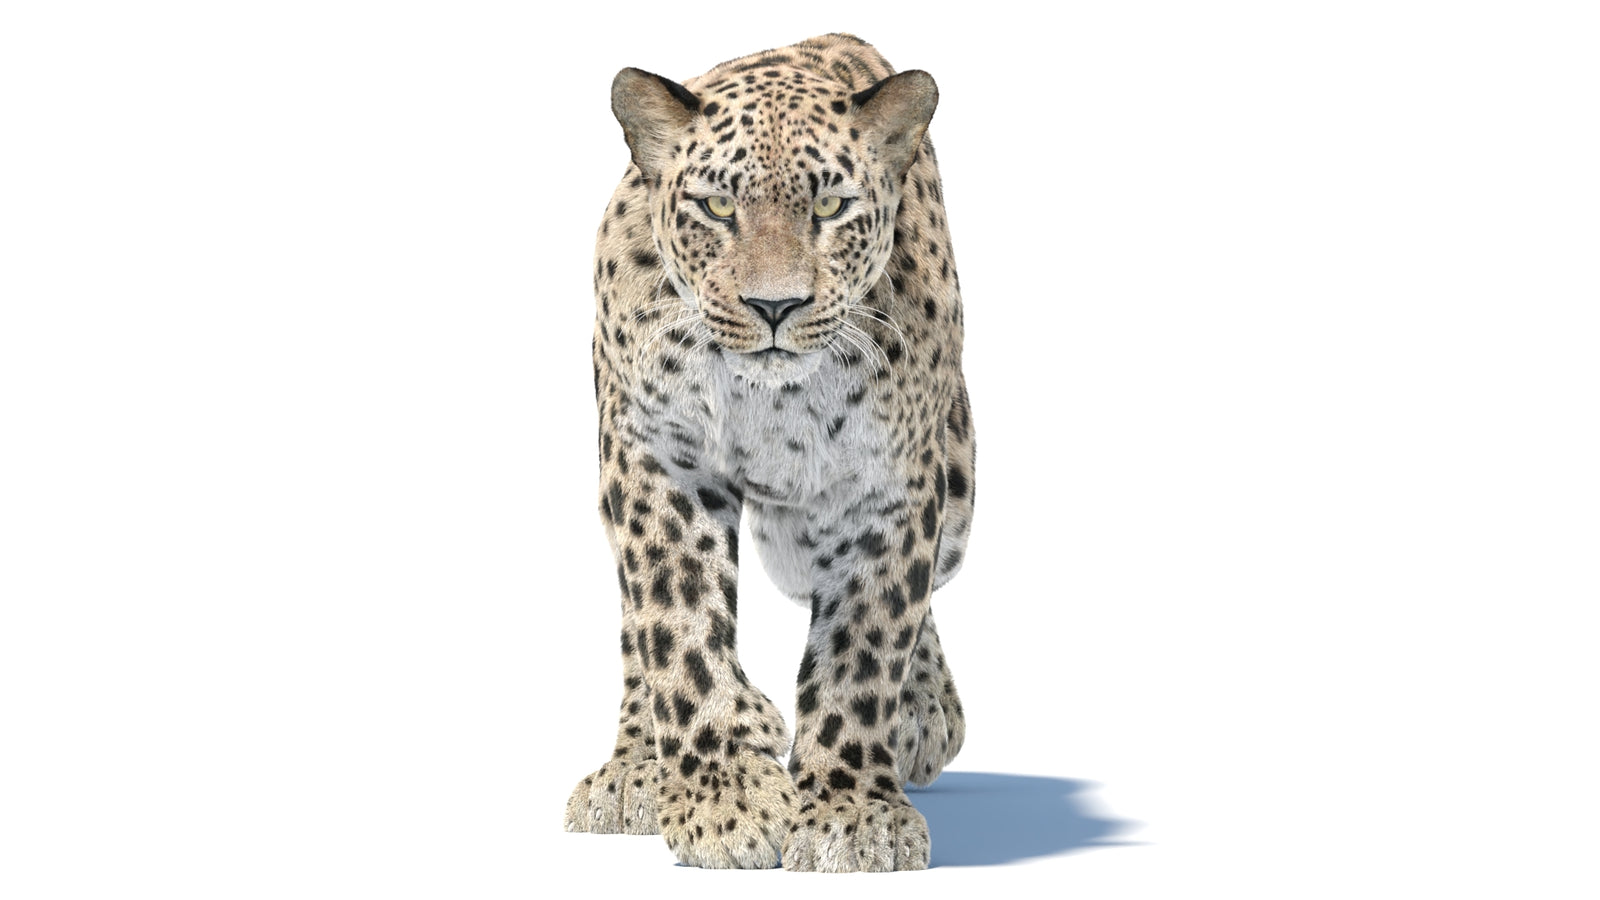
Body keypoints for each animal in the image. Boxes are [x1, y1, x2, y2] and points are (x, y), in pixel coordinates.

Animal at [563, 33, 976, 873]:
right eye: (718, 207)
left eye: (831, 207)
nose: (775, 305)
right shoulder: (660, 457)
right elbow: (677, 625)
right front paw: (725, 796)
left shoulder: (888, 489)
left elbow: (866, 647)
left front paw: (853, 813)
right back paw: (637, 766)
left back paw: (923, 717)